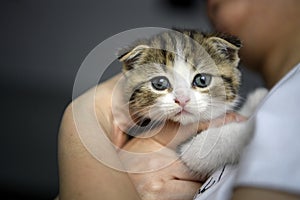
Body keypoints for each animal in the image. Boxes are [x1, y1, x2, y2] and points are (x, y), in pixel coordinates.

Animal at [118, 29, 268, 180]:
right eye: (159, 83)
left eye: (202, 80)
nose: (182, 99)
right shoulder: (187, 150)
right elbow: (210, 145)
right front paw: (252, 127)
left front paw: (258, 98)